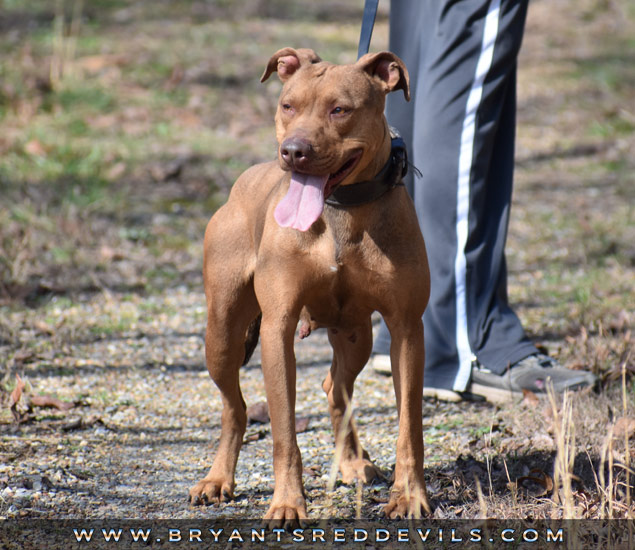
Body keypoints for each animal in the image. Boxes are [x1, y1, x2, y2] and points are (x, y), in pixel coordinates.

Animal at [189, 47, 432, 520]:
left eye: (340, 110)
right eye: (288, 105)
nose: (294, 151)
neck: (342, 210)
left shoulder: (407, 329)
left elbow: (409, 426)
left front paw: (409, 495)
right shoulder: (277, 327)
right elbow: (284, 430)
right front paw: (287, 503)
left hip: (356, 336)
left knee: (335, 389)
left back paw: (353, 462)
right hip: (222, 334)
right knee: (235, 407)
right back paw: (217, 478)